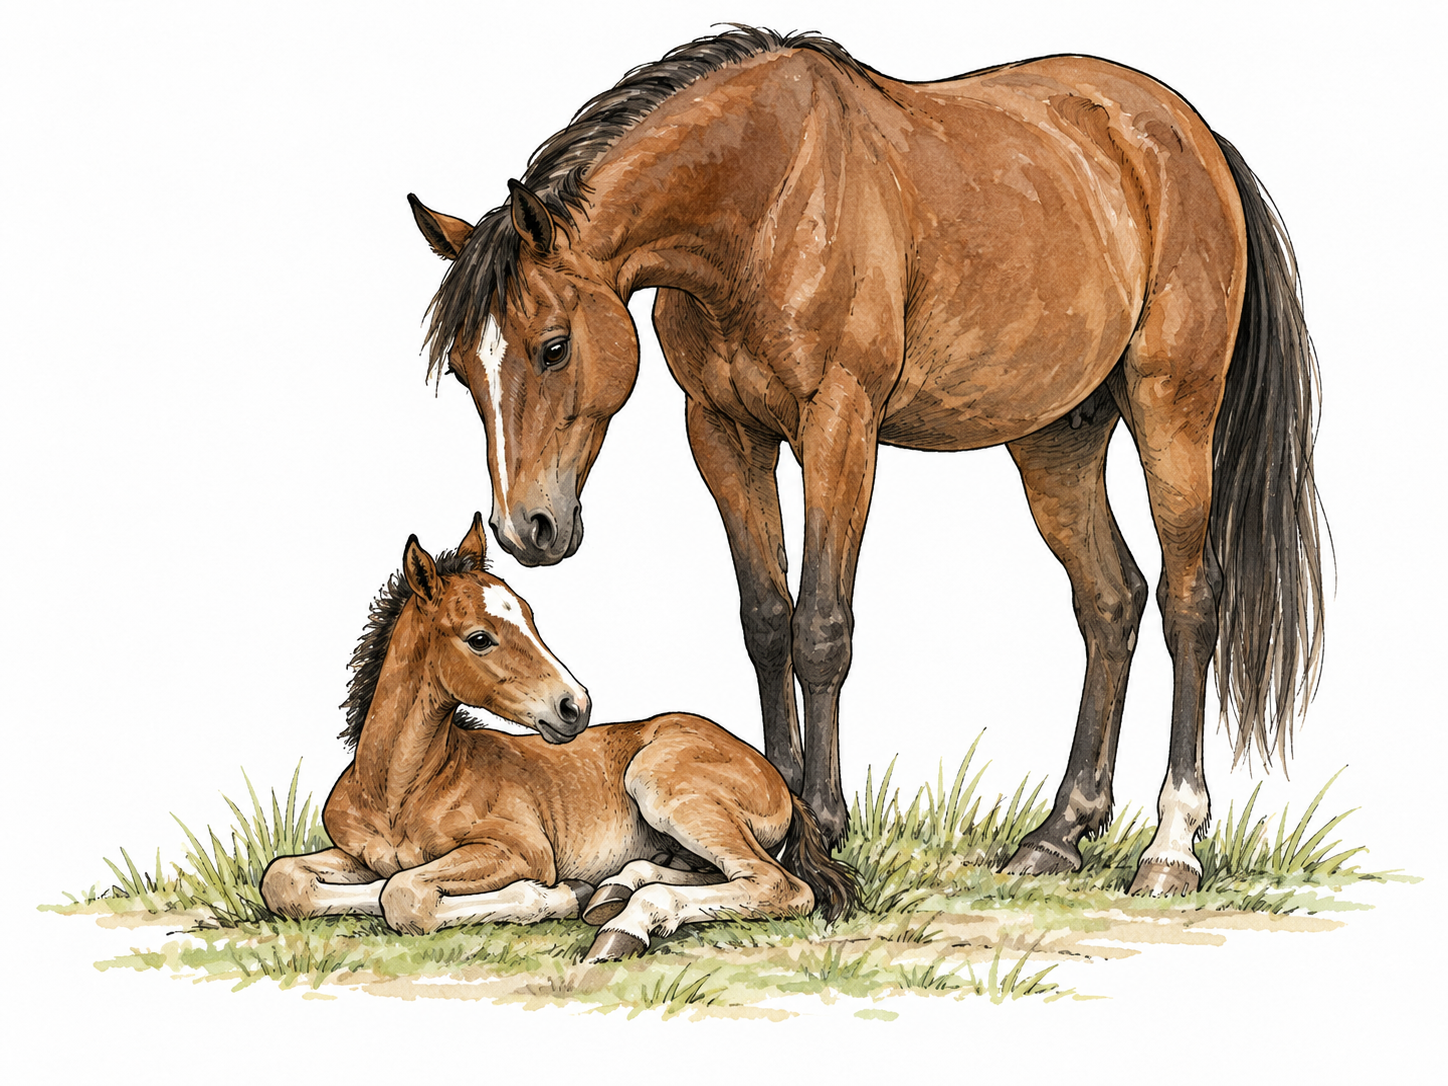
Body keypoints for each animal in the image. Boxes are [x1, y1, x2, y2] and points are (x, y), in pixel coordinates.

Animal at [260, 515, 856, 960]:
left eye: (528, 614)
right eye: (480, 638)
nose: (576, 706)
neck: (400, 791)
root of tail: (782, 783)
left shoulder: (519, 849)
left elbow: (404, 894)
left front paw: (557, 896)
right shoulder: (354, 853)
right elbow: (287, 879)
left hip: (661, 787)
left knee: (776, 884)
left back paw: (623, 924)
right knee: (709, 872)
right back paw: (613, 891)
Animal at [407, 27, 1324, 896]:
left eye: (553, 347)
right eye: (463, 369)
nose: (527, 528)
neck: (765, 202)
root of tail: (1190, 135)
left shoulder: (839, 428)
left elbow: (820, 629)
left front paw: (819, 818)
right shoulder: (724, 435)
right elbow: (765, 619)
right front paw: (771, 801)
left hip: (1173, 411)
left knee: (1188, 602)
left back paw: (1172, 845)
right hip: (1056, 439)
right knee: (1110, 601)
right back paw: (1060, 832)